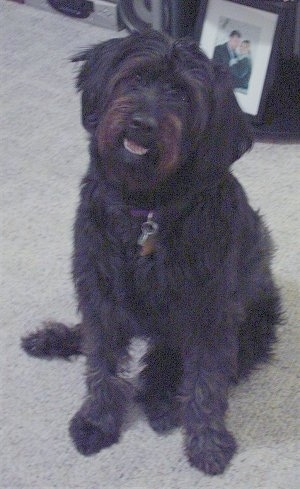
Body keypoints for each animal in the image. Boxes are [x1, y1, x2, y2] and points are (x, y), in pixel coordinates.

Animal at [22, 30, 282, 472]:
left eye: (182, 93)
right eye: (135, 77)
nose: (142, 125)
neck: (147, 205)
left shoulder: (210, 311)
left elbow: (206, 381)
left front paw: (207, 441)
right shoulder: (101, 292)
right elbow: (101, 361)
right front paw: (97, 421)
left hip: (250, 323)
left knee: (169, 361)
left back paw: (161, 400)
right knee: (94, 336)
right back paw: (55, 339)